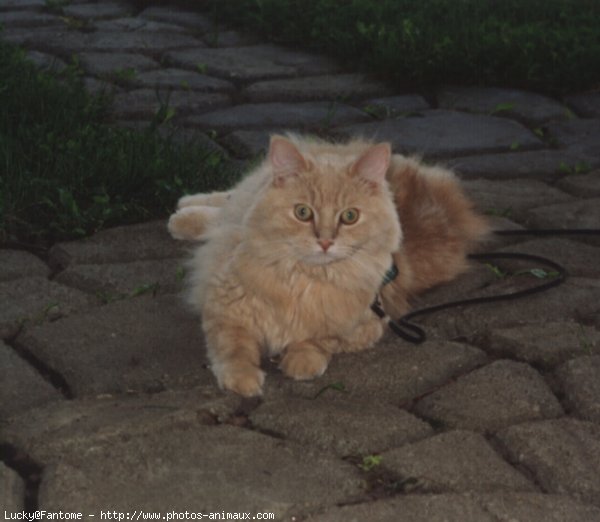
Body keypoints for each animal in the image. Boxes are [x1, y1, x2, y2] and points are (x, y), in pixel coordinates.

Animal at [168, 133, 488, 394]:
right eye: (302, 212)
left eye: (349, 216)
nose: (324, 241)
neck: (306, 279)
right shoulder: (224, 310)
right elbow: (234, 349)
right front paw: (244, 382)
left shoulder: (365, 325)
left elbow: (318, 340)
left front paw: (301, 362)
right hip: (244, 197)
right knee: (226, 203)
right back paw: (182, 212)